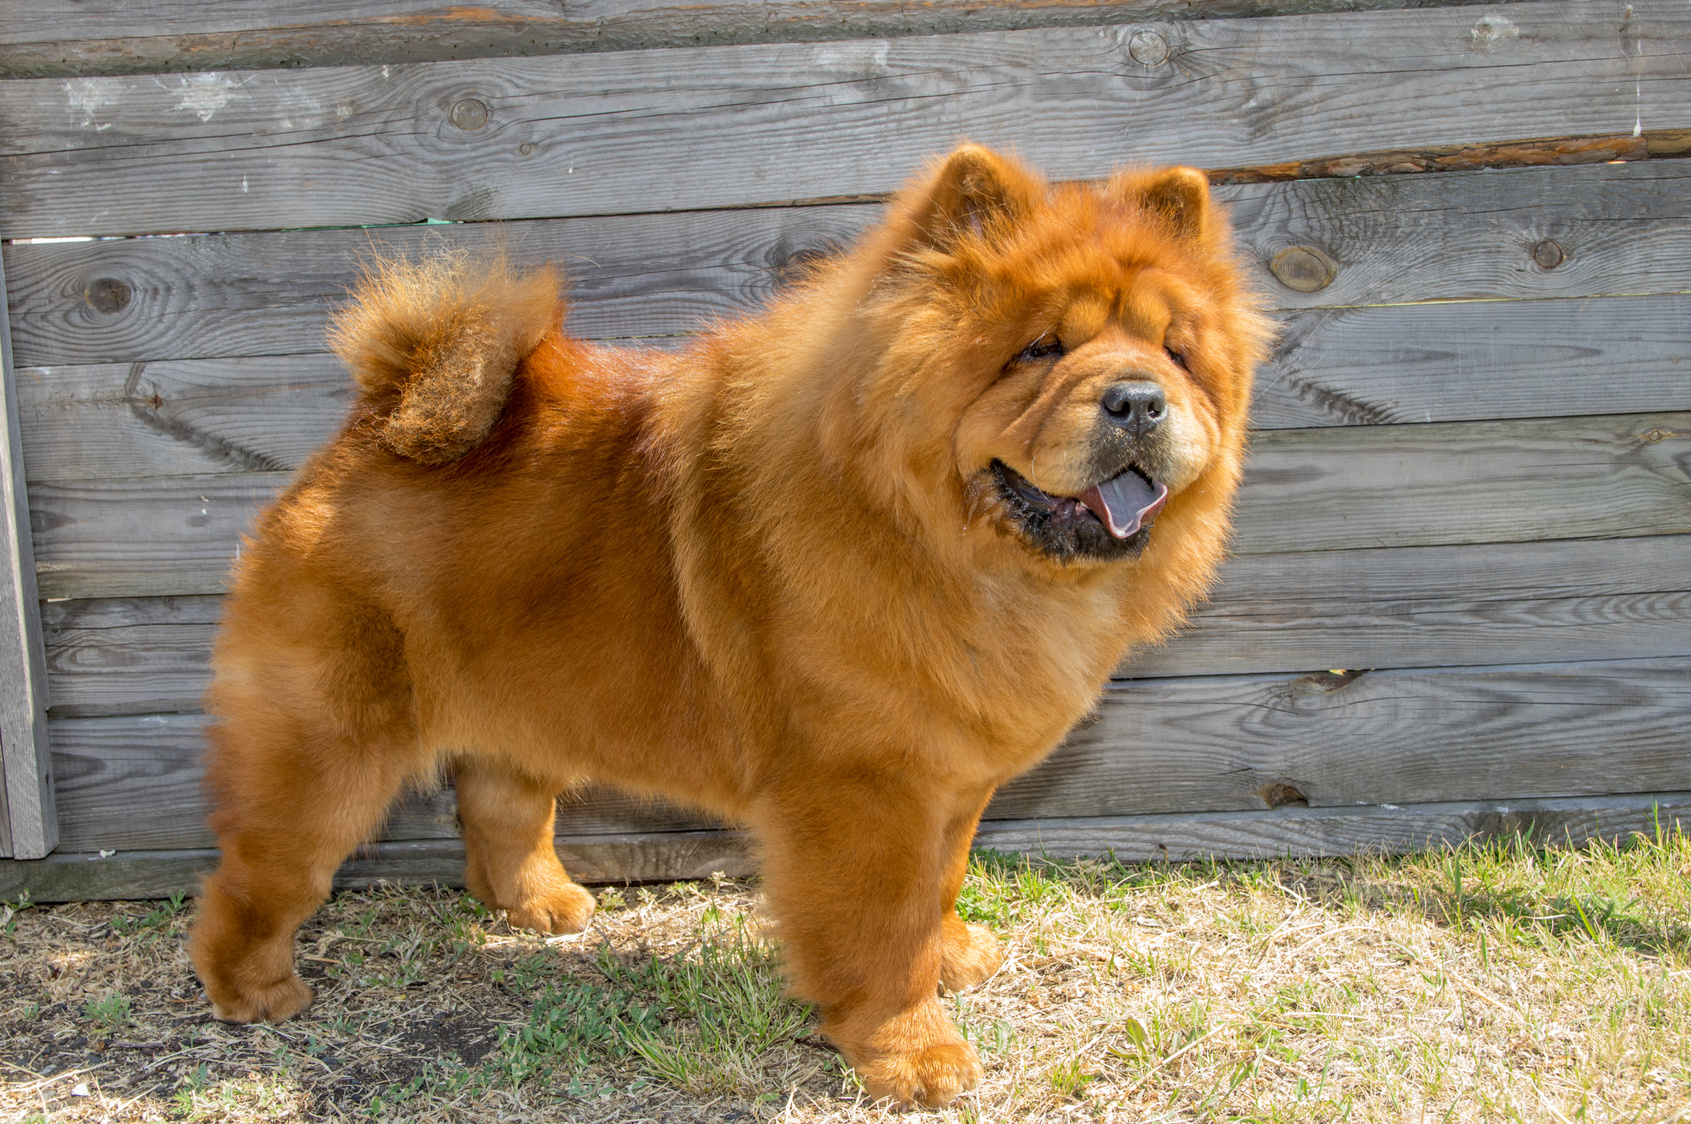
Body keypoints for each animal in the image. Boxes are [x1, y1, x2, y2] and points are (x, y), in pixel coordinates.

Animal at [188, 147, 1271, 1102]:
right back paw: (254, 990)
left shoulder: (952, 777)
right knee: (259, 870)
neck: (959, 552)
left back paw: (539, 904)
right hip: (327, 746)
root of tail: (378, 418)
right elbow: (883, 928)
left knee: (498, 805)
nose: (1137, 398)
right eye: (1039, 350)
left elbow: (941, 880)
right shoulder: (864, 785)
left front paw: (953, 954)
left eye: (1174, 351)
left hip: (523, 707)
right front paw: (911, 1051)